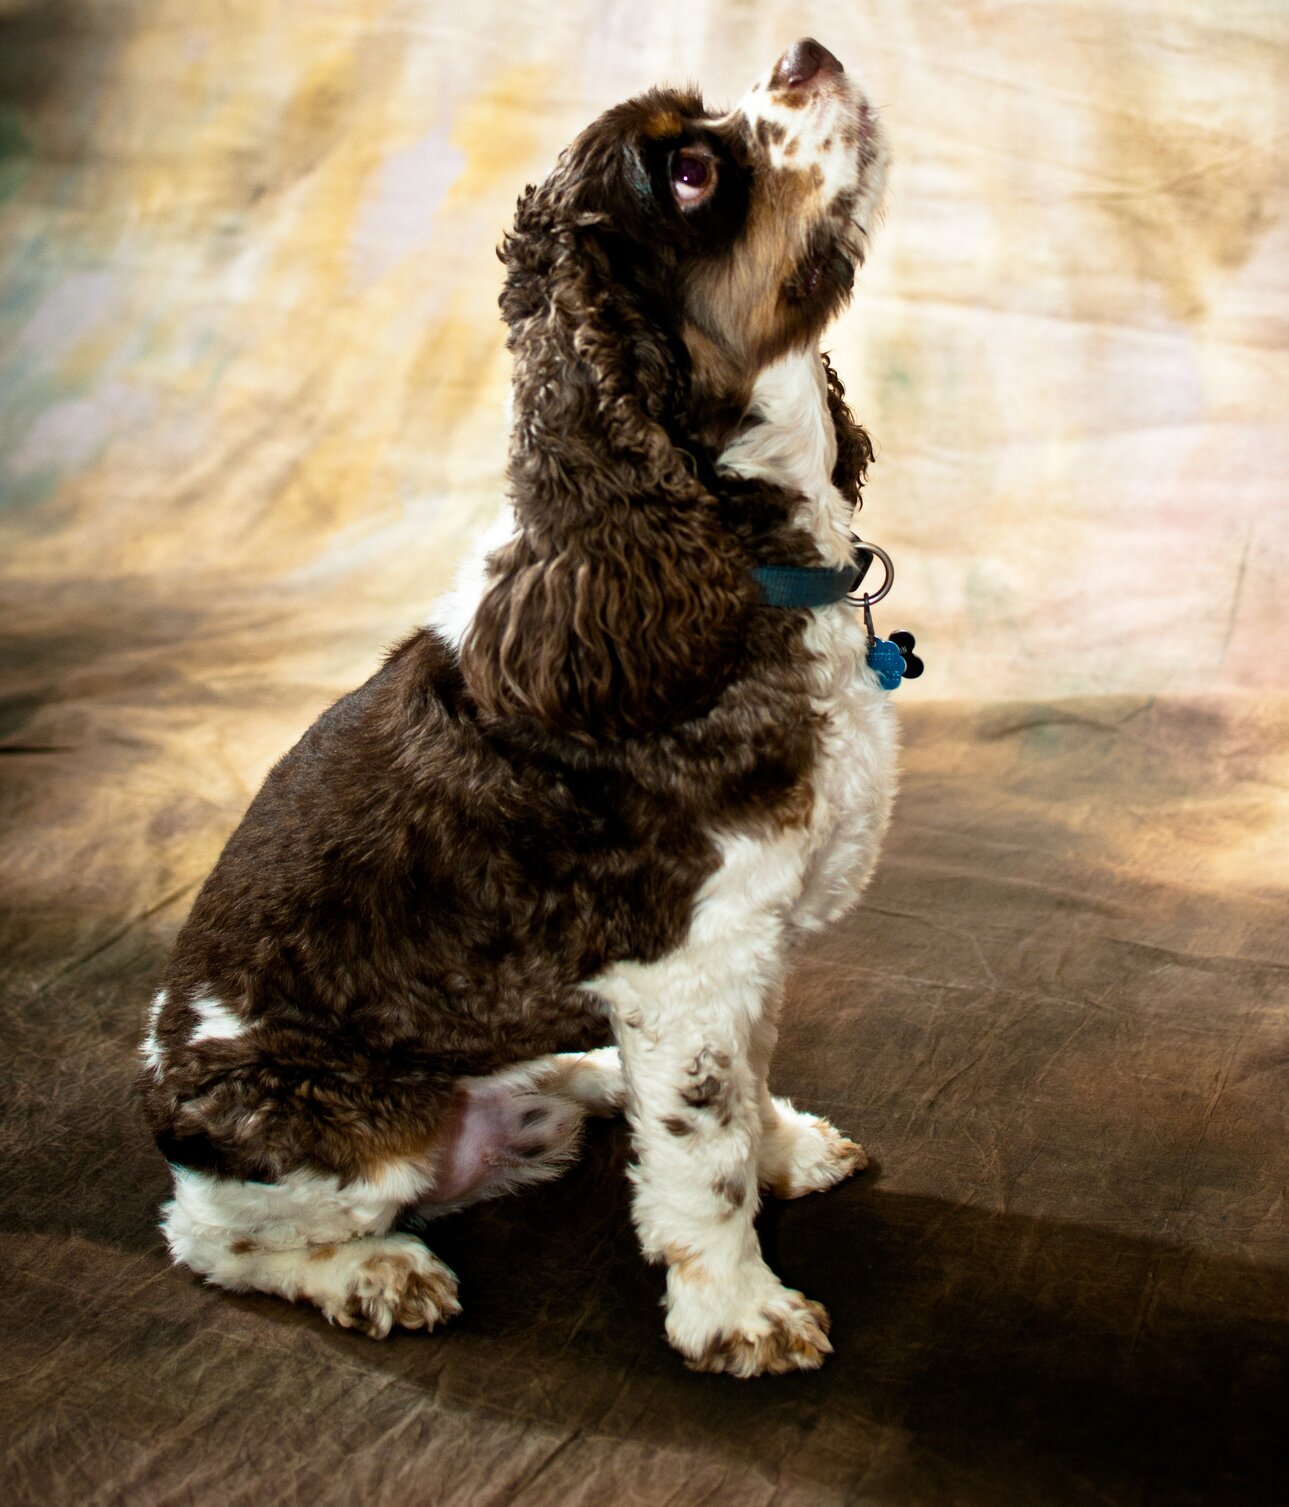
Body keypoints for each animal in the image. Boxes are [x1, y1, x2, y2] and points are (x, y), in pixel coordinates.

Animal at [136, 38, 892, 1380]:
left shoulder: (747, 948)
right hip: (346, 1117)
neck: (711, 556)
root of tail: (167, 1098)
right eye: (688, 173)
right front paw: (740, 1312)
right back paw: (376, 1273)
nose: (804, 51)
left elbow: (745, 1082)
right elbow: (702, 1157)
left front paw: (783, 1147)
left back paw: (583, 1080)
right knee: (214, 1236)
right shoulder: (684, 963)